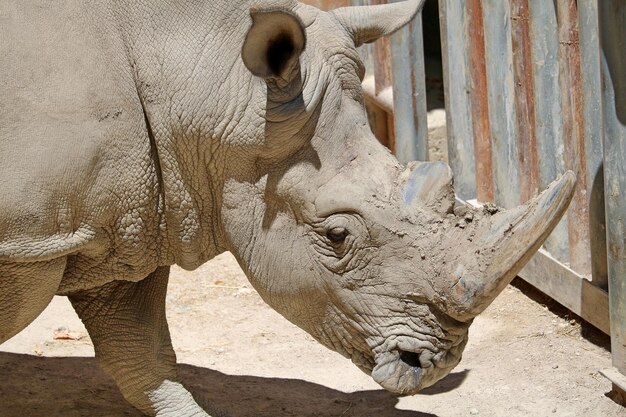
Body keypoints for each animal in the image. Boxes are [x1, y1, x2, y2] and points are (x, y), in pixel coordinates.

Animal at [1, 0, 576, 414]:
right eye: (337, 236)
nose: (434, 365)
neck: (204, 86)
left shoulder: (125, 223)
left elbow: (141, 357)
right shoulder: (35, 236)